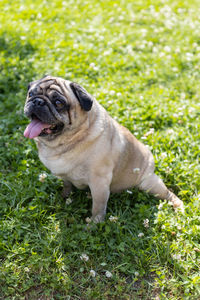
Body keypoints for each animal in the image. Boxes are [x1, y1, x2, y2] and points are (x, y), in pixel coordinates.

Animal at [24, 76, 184, 221]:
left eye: (58, 103)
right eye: (30, 94)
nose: (37, 101)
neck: (67, 142)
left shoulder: (99, 183)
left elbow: (98, 208)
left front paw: (93, 225)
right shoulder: (66, 176)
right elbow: (67, 186)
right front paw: (64, 197)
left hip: (149, 184)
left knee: (169, 194)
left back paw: (178, 206)